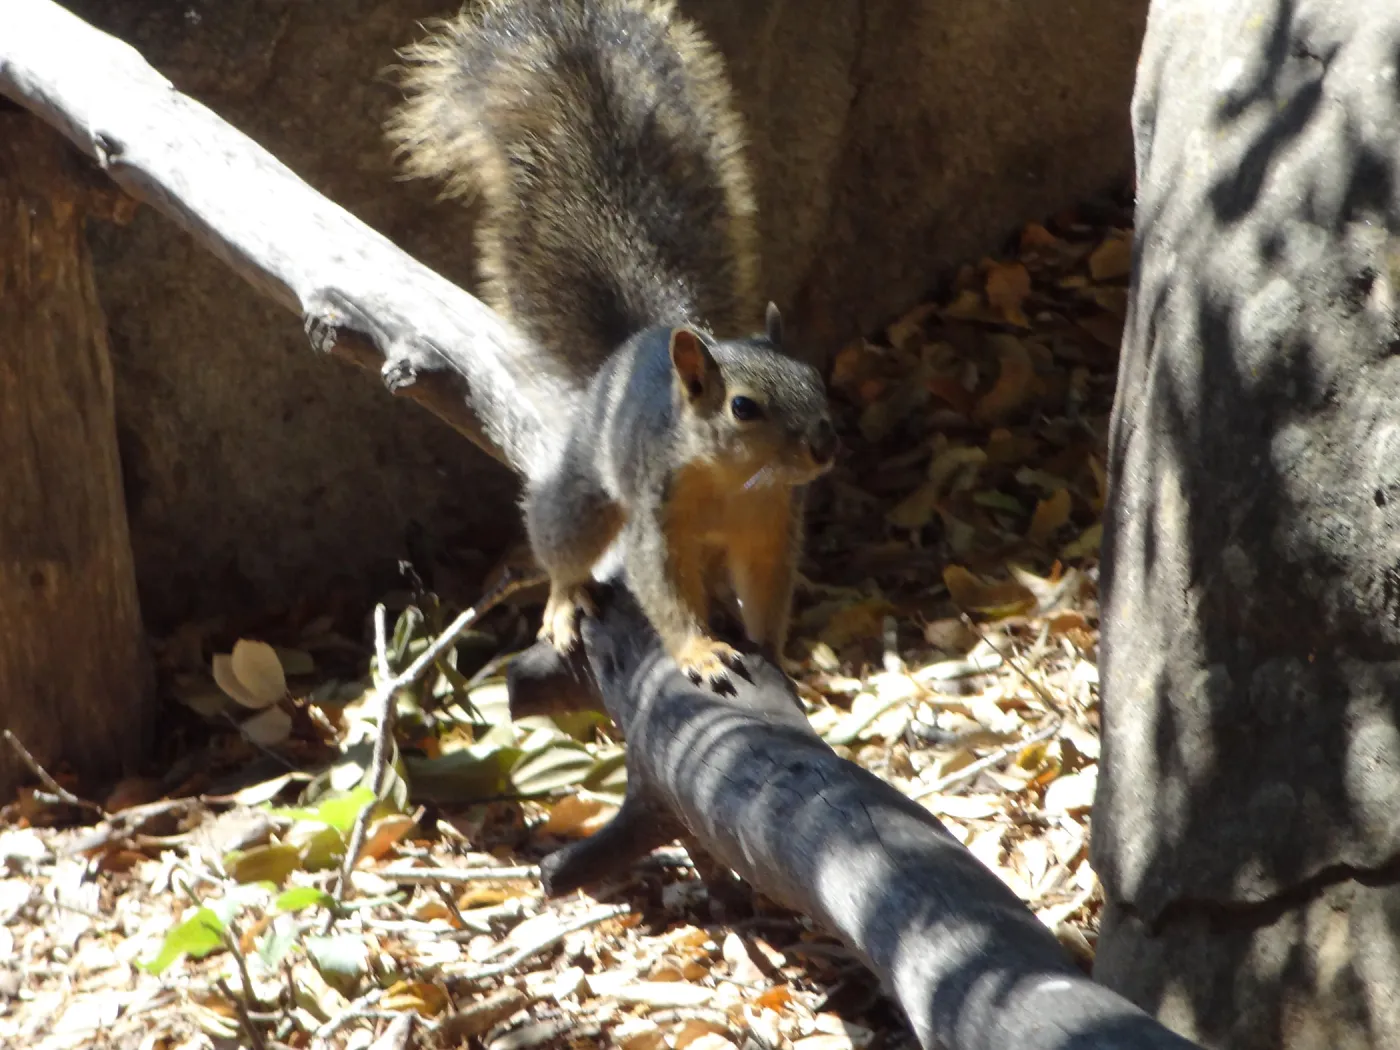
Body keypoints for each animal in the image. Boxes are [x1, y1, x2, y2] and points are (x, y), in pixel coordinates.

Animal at [387, 0, 837, 688]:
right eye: (743, 407)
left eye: (816, 381)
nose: (823, 445)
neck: (736, 483)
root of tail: (629, 347)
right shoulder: (659, 521)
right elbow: (664, 594)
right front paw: (699, 651)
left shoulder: (772, 528)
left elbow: (767, 592)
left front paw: (777, 655)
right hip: (584, 497)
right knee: (561, 543)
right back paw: (563, 599)